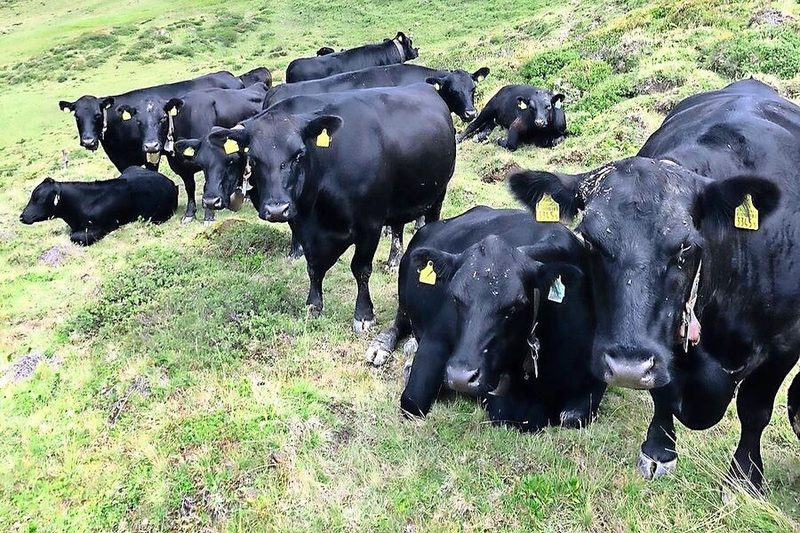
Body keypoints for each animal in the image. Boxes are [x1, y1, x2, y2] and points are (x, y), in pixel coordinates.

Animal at [113, 83, 268, 223]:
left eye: (163, 118)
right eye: (138, 122)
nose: (151, 146)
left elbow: (206, 186)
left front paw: (208, 216)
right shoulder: (182, 167)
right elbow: (189, 187)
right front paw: (189, 214)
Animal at [189, 84, 456, 332]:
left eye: (298, 154)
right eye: (253, 158)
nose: (276, 209)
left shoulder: (369, 223)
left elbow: (361, 268)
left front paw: (364, 315)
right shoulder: (303, 226)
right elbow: (314, 268)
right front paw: (313, 305)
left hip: (438, 193)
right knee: (398, 227)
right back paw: (393, 260)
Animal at [364, 206, 605, 427]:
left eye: (516, 306)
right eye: (455, 298)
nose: (461, 376)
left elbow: (570, 417)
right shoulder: (436, 340)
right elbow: (413, 401)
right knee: (400, 322)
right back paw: (382, 346)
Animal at [508, 79, 800, 494]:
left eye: (685, 246)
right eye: (590, 241)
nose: (627, 366)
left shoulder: (784, 345)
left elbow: (755, 409)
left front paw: (745, 475)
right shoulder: (661, 343)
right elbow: (662, 393)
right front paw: (659, 450)